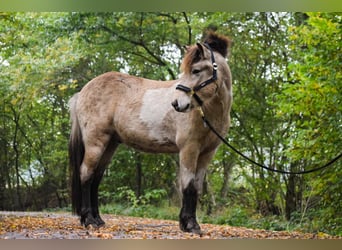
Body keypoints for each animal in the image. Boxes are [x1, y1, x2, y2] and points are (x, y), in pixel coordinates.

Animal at [69, 31, 234, 234]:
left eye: (195, 70)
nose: (176, 104)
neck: (208, 111)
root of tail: (82, 92)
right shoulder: (189, 149)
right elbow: (187, 186)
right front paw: (190, 224)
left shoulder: (207, 153)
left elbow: (195, 187)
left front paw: (189, 223)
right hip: (95, 143)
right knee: (86, 174)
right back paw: (89, 220)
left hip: (110, 145)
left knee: (96, 178)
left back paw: (98, 220)